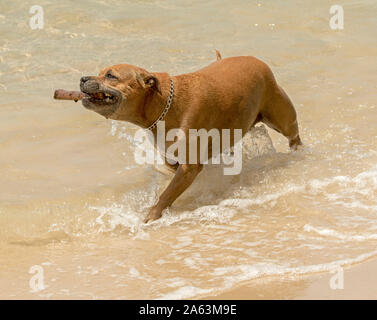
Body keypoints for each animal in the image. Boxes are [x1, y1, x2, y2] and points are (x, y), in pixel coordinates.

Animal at [80, 52, 302, 222]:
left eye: (111, 75)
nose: (82, 79)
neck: (163, 105)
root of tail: (255, 59)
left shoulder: (188, 168)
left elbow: (166, 194)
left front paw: (152, 216)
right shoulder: (172, 161)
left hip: (283, 120)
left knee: (293, 136)